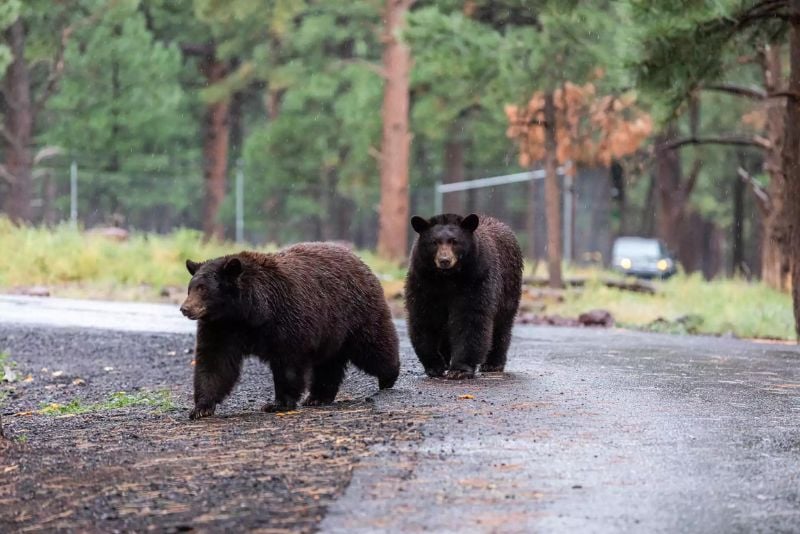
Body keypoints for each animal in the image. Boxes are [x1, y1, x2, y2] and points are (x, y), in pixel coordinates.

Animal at [178, 245, 396, 420]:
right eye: (191, 288)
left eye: (203, 289)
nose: (185, 309)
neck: (247, 313)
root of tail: (358, 260)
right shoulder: (221, 328)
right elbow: (215, 362)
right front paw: (201, 408)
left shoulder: (285, 320)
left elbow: (288, 363)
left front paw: (277, 403)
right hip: (331, 331)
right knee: (328, 363)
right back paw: (318, 397)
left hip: (355, 314)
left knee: (373, 345)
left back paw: (389, 377)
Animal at [406, 214, 524, 382]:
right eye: (434, 242)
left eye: (455, 241)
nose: (444, 260)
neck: (447, 278)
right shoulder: (423, 282)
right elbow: (424, 317)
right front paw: (435, 365)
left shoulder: (476, 278)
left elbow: (470, 319)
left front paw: (459, 369)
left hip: (508, 289)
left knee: (502, 325)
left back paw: (493, 364)